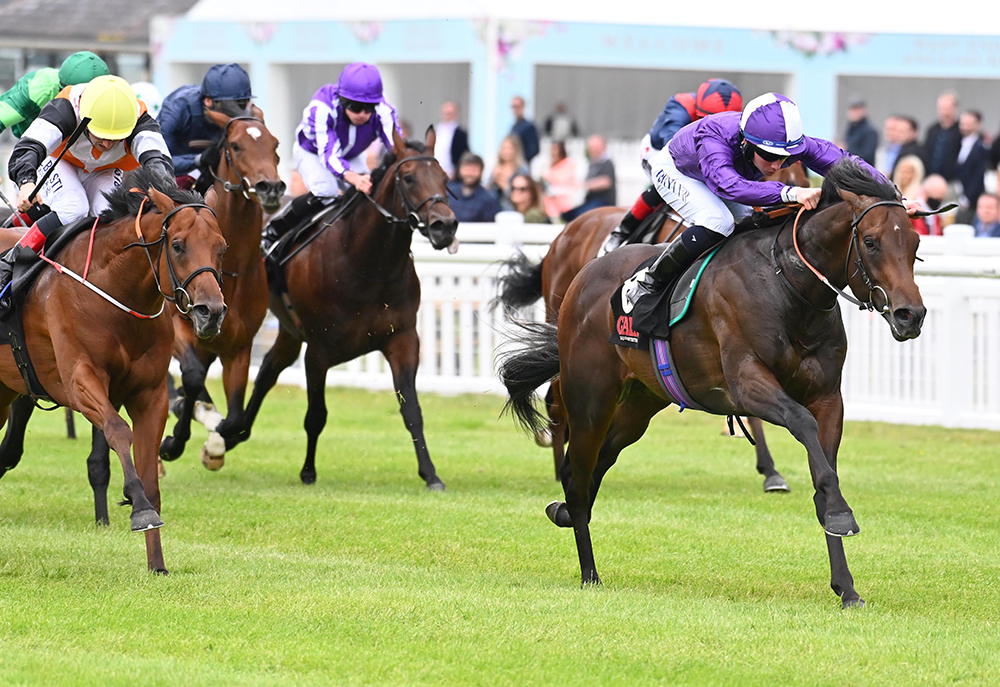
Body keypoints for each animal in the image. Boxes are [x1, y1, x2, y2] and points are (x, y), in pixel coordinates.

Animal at [0, 169, 228, 572]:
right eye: (178, 245)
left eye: (222, 248)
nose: (210, 312)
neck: (115, 294)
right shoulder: (80, 379)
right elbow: (118, 431)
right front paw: (139, 509)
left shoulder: (150, 394)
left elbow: (150, 474)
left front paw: (157, 564)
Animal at [156, 107, 284, 470]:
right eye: (236, 146)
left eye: (275, 144)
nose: (271, 187)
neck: (233, 269)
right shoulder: (179, 328)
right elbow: (192, 377)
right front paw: (174, 440)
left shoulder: (238, 346)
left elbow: (236, 419)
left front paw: (214, 444)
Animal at [227, 127, 458, 490]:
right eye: (408, 178)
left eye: (445, 177)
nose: (444, 226)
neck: (367, 263)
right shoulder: (318, 350)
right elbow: (315, 415)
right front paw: (308, 471)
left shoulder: (403, 339)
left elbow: (412, 411)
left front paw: (431, 474)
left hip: (290, 330)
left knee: (268, 369)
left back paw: (235, 433)